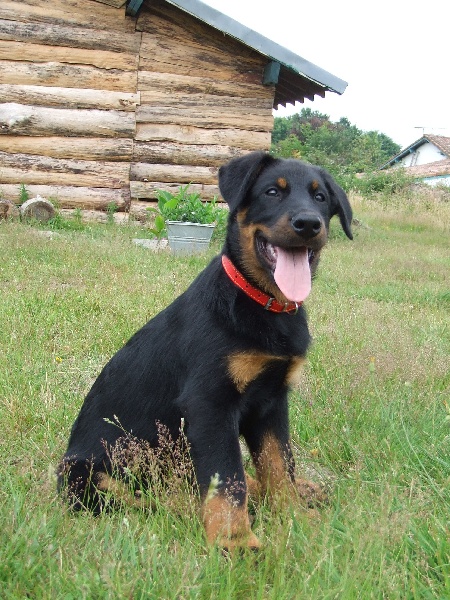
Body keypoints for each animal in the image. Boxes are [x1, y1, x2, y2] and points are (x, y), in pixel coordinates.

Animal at [57, 152, 352, 552]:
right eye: (272, 192)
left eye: (320, 198)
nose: (308, 223)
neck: (263, 304)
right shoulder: (210, 404)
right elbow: (227, 480)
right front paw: (237, 543)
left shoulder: (271, 403)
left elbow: (278, 465)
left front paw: (294, 516)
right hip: (87, 473)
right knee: (153, 496)